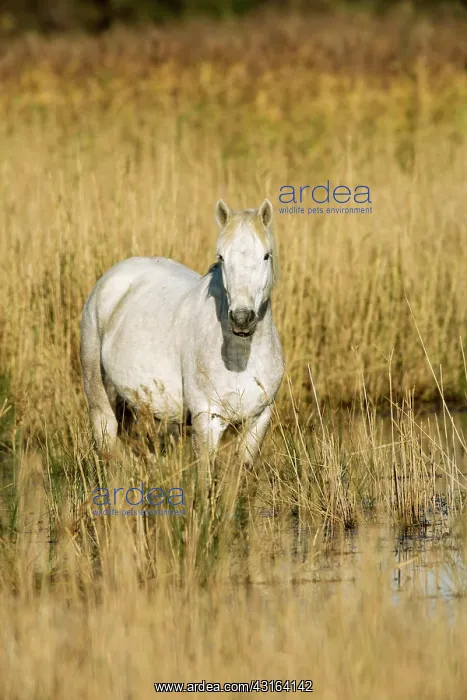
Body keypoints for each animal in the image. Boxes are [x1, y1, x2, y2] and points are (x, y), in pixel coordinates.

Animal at [80, 198, 284, 469]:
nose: (242, 318)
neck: (240, 358)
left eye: (266, 255)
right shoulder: (207, 419)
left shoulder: (258, 419)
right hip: (97, 389)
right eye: (221, 257)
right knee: (106, 436)